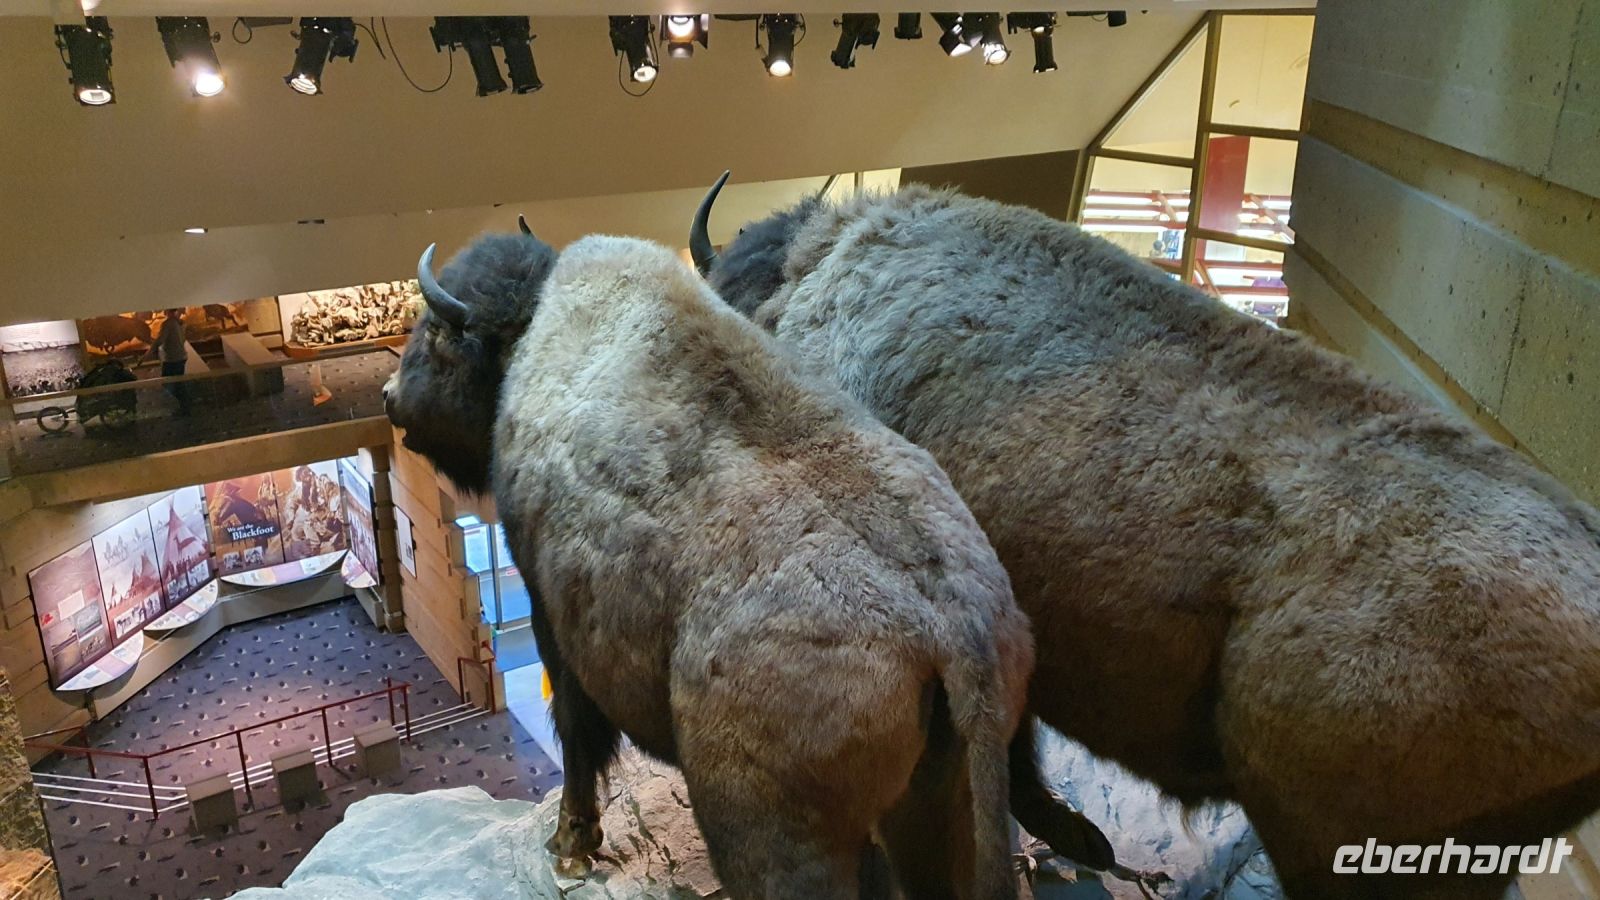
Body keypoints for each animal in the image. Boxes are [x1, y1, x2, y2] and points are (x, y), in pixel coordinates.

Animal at [383, 229, 1096, 898]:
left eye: (433, 334)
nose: (390, 395)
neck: (534, 329)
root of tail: (957, 631)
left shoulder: (551, 620)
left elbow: (577, 734)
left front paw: (570, 843)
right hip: (946, 808)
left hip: (771, 835)